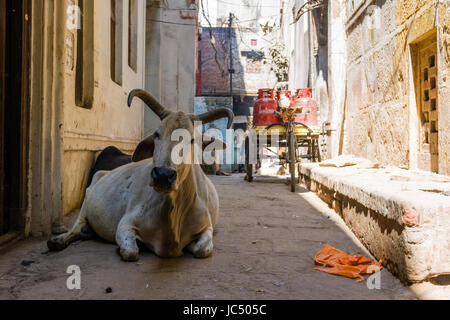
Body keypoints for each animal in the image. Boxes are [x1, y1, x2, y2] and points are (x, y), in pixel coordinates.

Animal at [48, 89, 234, 262]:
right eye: (157, 134)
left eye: (192, 139)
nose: (163, 175)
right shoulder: (125, 225)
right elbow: (130, 252)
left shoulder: (207, 227)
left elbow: (202, 250)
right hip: (88, 196)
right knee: (76, 226)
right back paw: (59, 240)